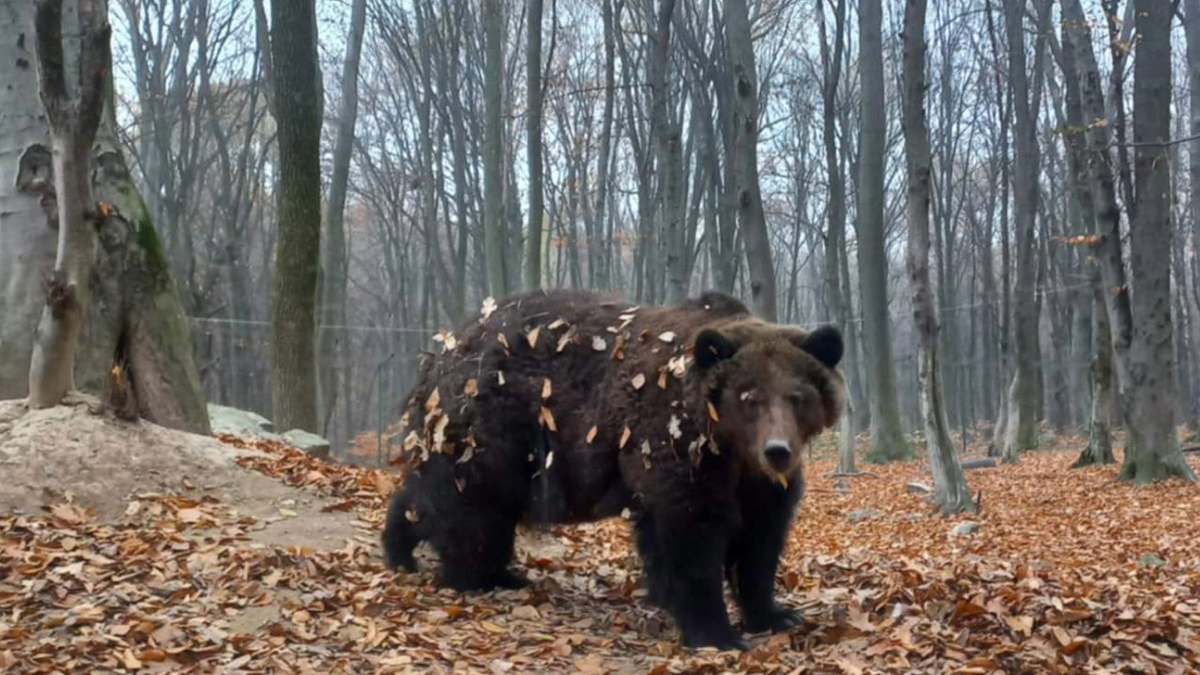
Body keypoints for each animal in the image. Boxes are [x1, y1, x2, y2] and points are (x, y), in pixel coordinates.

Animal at [381, 288, 844, 648]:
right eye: (749, 397)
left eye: (797, 396)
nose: (777, 450)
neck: (730, 450)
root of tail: (443, 350)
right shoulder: (675, 447)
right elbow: (692, 537)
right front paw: (717, 633)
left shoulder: (757, 485)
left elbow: (760, 541)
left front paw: (777, 613)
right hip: (495, 423)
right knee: (469, 507)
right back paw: (476, 576)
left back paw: (415, 553)